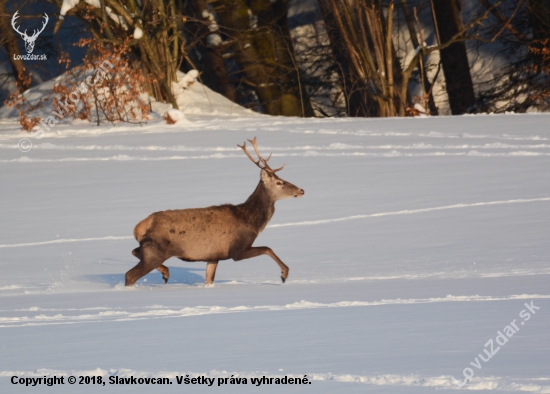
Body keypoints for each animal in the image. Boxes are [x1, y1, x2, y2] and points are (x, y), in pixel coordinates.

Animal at [126, 138, 306, 286]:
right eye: (279, 182)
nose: (301, 190)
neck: (251, 221)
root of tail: (139, 227)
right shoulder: (237, 249)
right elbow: (268, 248)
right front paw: (284, 274)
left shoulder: (214, 256)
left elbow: (209, 280)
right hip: (156, 250)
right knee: (130, 275)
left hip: (149, 249)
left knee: (134, 251)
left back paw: (165, 273)